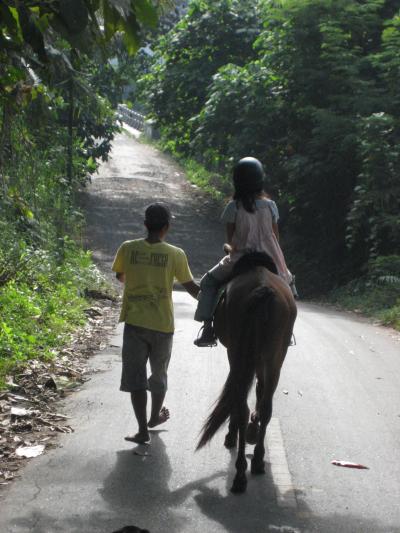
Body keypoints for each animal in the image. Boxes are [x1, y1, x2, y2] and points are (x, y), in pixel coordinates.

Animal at [197, 251, 296, 492]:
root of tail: (263, 288)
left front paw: (233, 434)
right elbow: (259, 393)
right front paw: (253, 427)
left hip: (239, 352)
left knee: (242, 405)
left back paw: (240, 473)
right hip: (274, 357)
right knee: (266, 406)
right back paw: (258, 460)